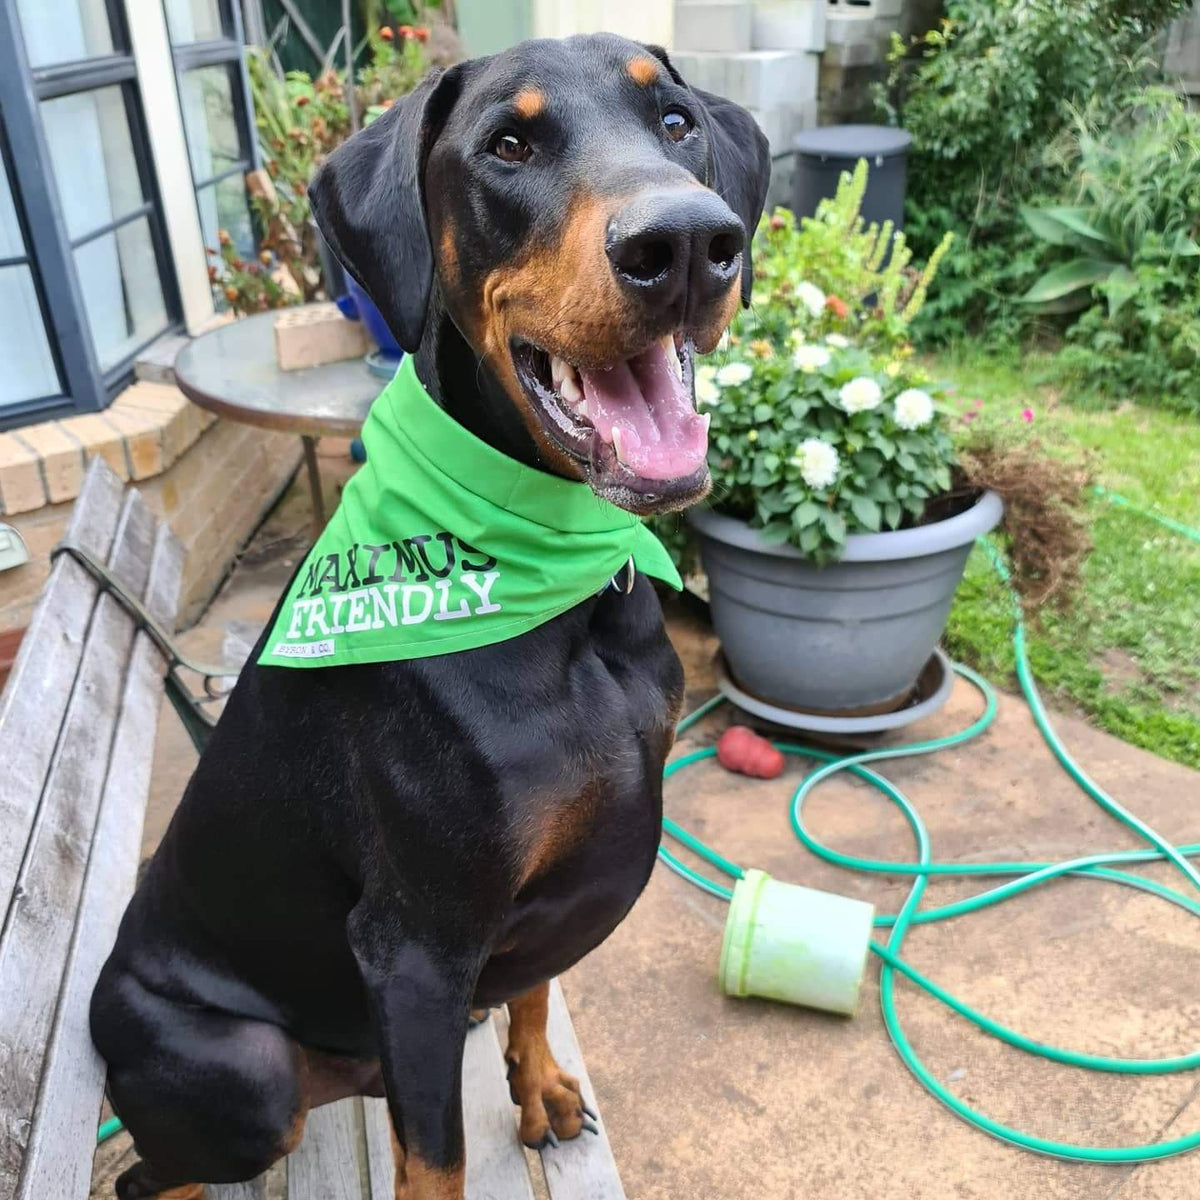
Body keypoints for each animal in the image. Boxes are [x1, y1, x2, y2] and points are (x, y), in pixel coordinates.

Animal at [91, 32, 768, 1195]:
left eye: (676, 122)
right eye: (508, 146)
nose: (686, 242)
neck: (565, 595)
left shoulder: (524, 920)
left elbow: (536, 986)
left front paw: (537, 1085)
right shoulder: (414, 945)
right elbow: (436, 1159)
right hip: (247, 1073)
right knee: (157, 1167)